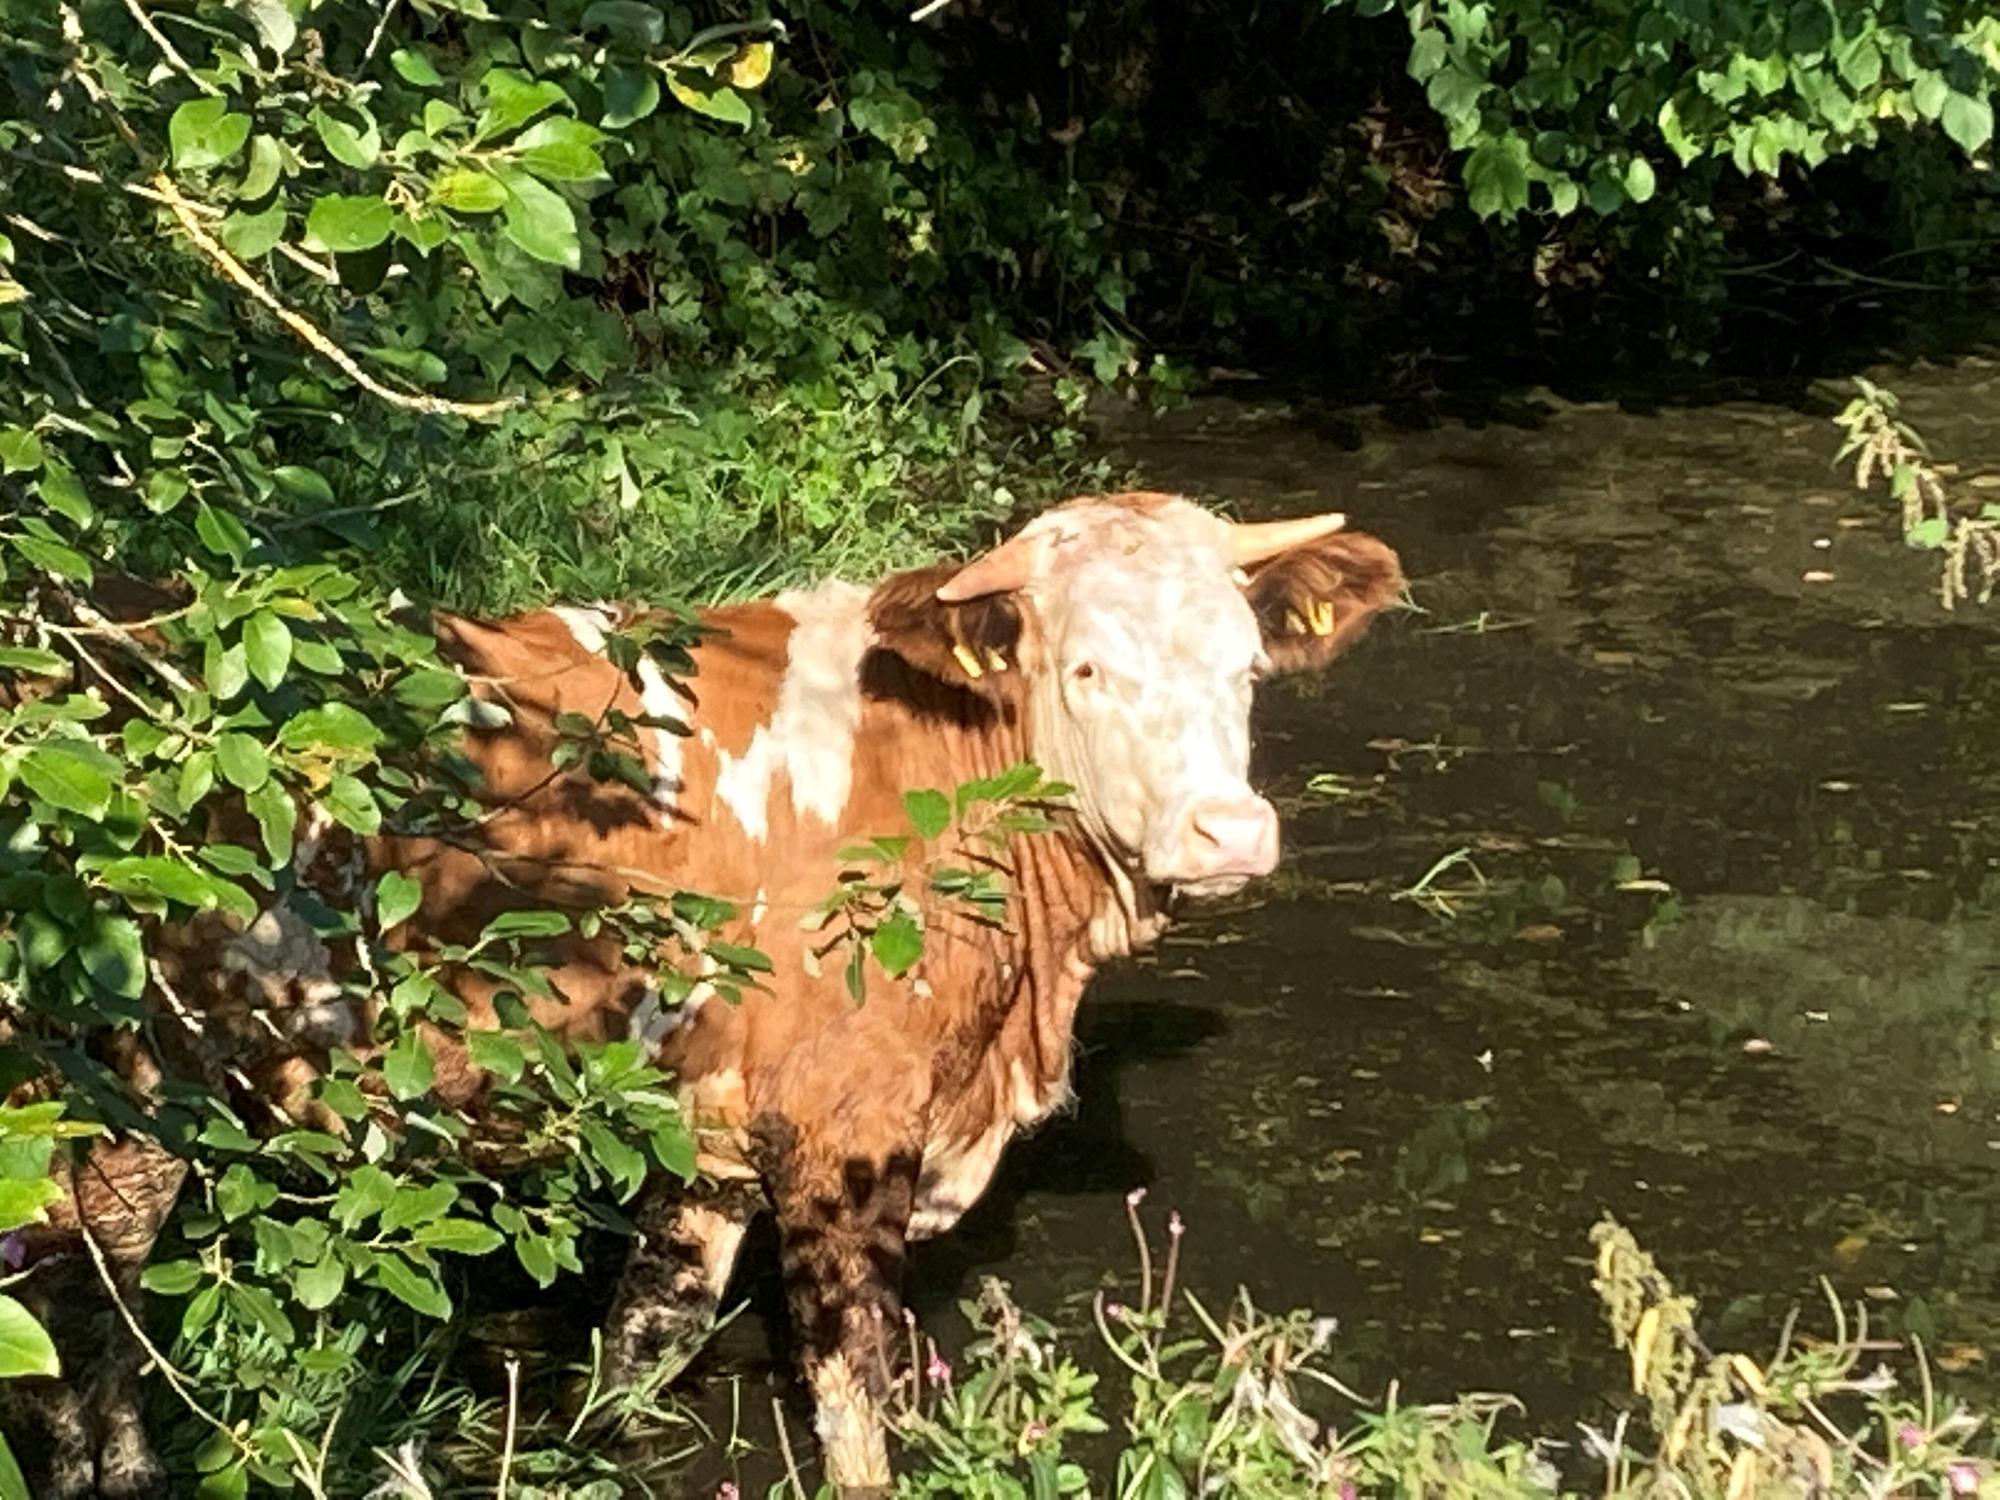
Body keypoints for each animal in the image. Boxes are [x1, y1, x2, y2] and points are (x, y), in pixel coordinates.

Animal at [7, 491, 1401, 1496]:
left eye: (1246, 670)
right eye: (1086, 672)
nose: (1228, 832)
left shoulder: (717, 1131)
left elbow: (643, 1342)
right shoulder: (847, 1132)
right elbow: (854, 1409)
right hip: (106, 1074)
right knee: (73, 1290)